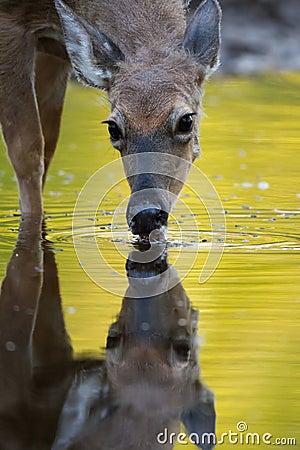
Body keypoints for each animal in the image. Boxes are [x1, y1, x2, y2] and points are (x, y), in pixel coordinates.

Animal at [0, 0, 220, 237]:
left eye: (186, 121)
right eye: (113, 128)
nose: (146, 216)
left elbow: (48, 146)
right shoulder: (9, 24)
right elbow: (27, 153)